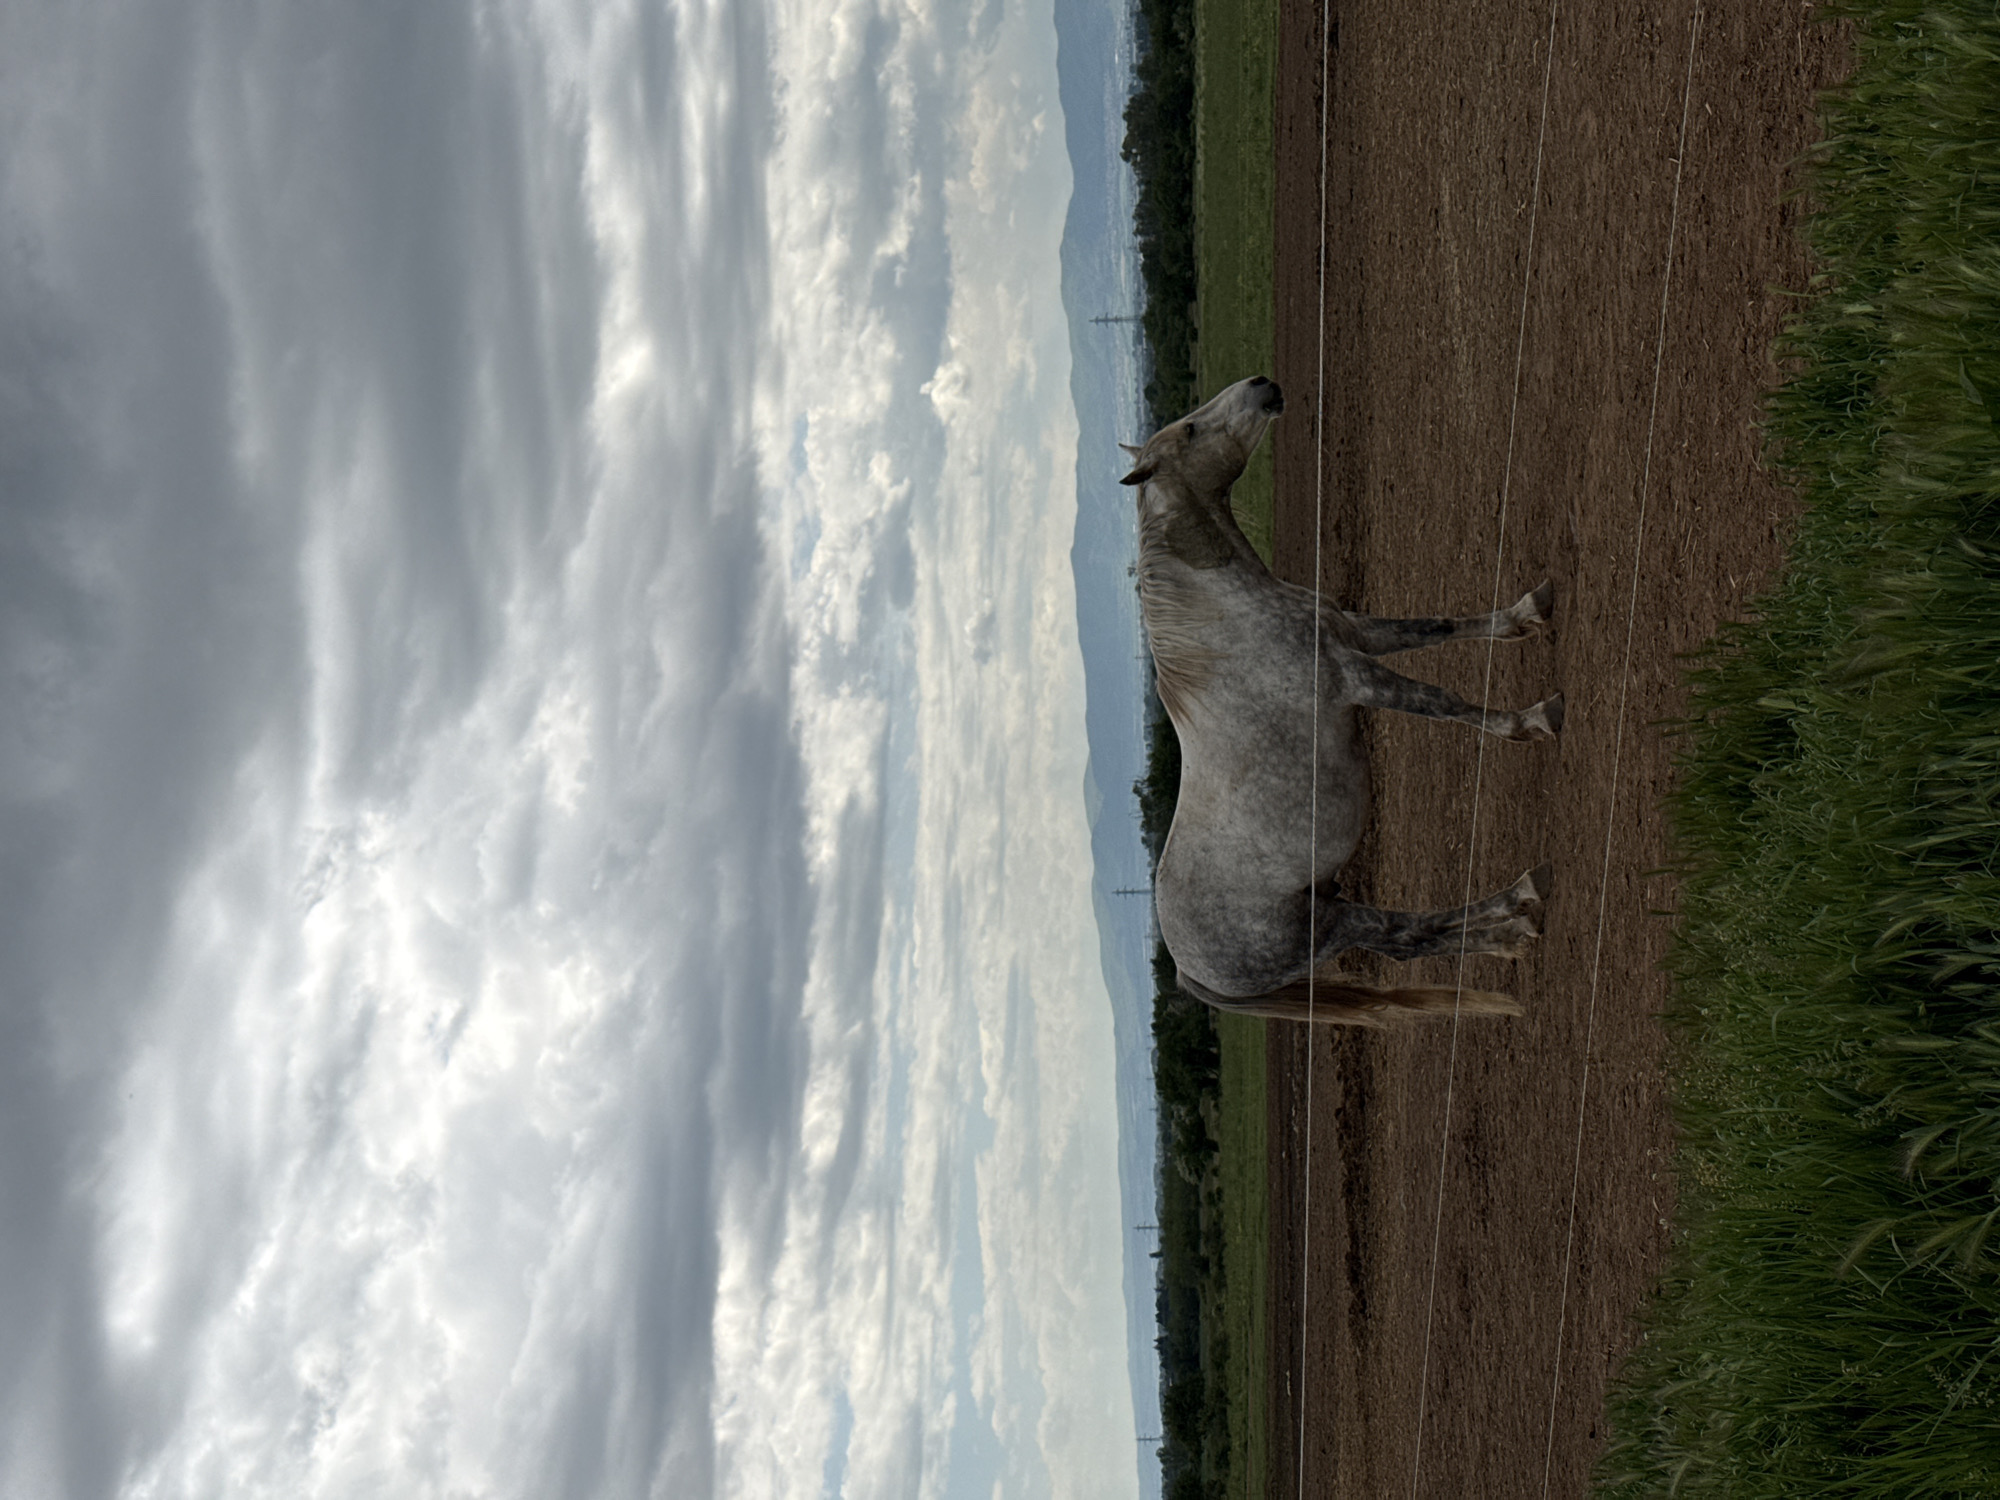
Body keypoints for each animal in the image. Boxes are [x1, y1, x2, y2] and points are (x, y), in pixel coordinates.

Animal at [1123, 375, 1561, 1026]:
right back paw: (1516, 910)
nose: (1262, 385)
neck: (1231, 620)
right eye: (1193, 429)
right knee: (1405, 936)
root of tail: (1188, 971)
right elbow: (1444, 701)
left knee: (1408, 942)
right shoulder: (1354, 676)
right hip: (1330, 924)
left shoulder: (1359, 634)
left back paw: (1508, 930)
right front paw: (1531, 720)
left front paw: (1524, 614)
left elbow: (1438, 627)